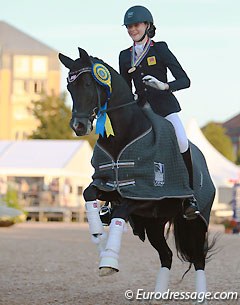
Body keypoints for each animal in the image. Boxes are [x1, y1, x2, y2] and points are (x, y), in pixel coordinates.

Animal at [59, 47, 217, 302]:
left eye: (87, 83)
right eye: (69, 86)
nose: (78, 126)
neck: (122, 136)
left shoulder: (145, 195)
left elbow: (121, 212)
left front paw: (108, 260)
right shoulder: (109, 186)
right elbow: (88, 194)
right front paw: (98, 236)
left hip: (196, 221)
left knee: (198, 258)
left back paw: (200, 298)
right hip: (153, 224)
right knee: (166, 255)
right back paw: (157, 296)